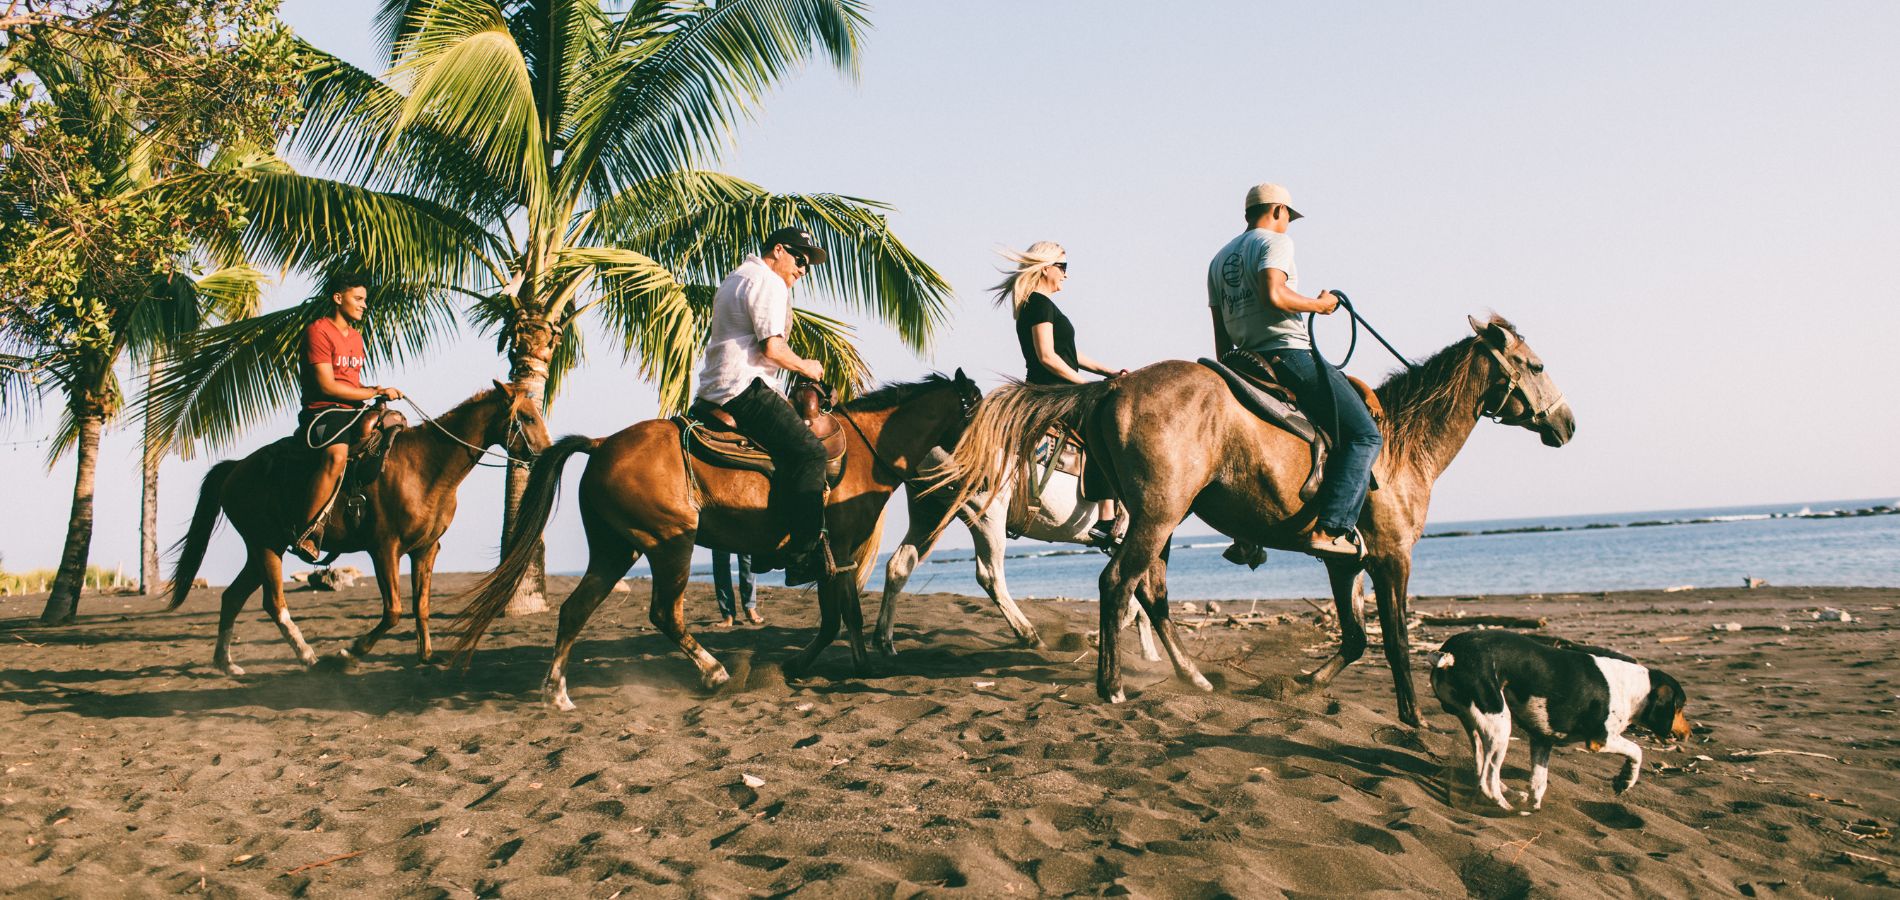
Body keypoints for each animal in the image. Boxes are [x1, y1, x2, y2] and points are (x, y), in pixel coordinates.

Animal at [164, 381, 554, 675]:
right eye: (527, 417)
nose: (548, 453)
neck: (425, 466)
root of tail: (234, 468)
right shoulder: (384, 549)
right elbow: (393, 610)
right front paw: (349, 652)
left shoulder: (426, 550)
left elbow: (421, 606)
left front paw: (426, 656)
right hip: (264, 547)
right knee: (274, 604)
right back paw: (308, 657)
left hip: (261, 549)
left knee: (231, 597)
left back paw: (226, 663)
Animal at [446, 370, 980, 710]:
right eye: (974, 416)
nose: (968, 473)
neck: (862, 451)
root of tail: (600, 445)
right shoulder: (839, 552)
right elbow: (838, 617)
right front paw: (821, 666)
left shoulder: (838, 557)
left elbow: (839, 617)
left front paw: (827, 666)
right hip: (670, 544)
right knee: (665, 614)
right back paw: (714, 671)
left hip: (615, 550)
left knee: (574, 610)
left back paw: (557, 693)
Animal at [874, 444, 1155, 660]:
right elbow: (1133, 603)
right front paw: (1095, 638)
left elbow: (1139, 603)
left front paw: (1149, 655)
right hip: (986, 510)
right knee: (990, 576)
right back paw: (1030, 636)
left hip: (930, 512)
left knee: (899, 565)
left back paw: (884, 642)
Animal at [942, 317, 1580, 725]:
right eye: (1537, 364)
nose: (1568, 424)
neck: (1402, 442)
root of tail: (1113, 389)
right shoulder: (1393, 558)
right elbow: (1396, 639)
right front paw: (1414, 718)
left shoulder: (1343, 562)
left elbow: (1355, 638)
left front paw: (1303, 684)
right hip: (1153, 515)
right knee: (1116, 584)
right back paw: (1113, 686)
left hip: (1159, 521)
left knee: (1151, 593)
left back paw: (1194, 678)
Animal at [1428, 630, 1687, 812]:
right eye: (1681, 706)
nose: (1689, 734)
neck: (1634, 688)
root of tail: (1450, 653)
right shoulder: (1601, 740)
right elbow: (1636, 751)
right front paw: (1626, 780)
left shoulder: (1542, 740)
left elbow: (1538, 781)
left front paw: (1533, 803)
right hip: (1499, 724)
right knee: (1487, 780)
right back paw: (1506, 808)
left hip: (1477, 725)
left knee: (1482, 767)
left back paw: (1513, 796)